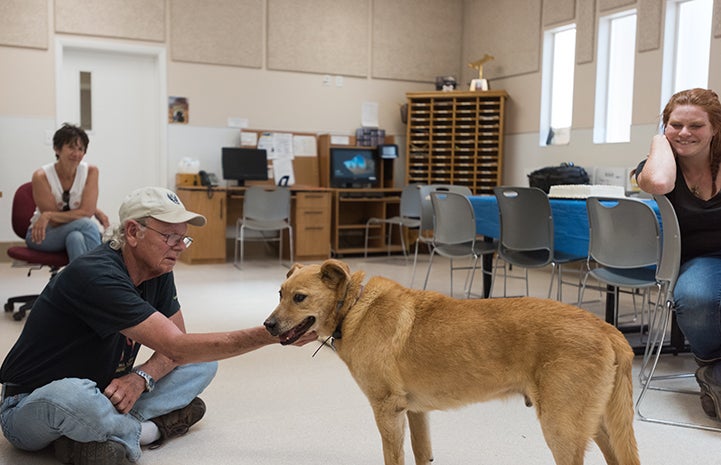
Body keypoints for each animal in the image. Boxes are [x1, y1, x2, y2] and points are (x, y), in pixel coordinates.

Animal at [262, 260, 636, 462]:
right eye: (279, 294)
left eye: (299, 298)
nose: (267, 326)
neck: (353, 308)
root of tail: (607, 329)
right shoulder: (414, 412)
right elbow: (421, 454)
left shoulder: (387, 411)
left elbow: (393, 457)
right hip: (600, 427)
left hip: (562, 429)